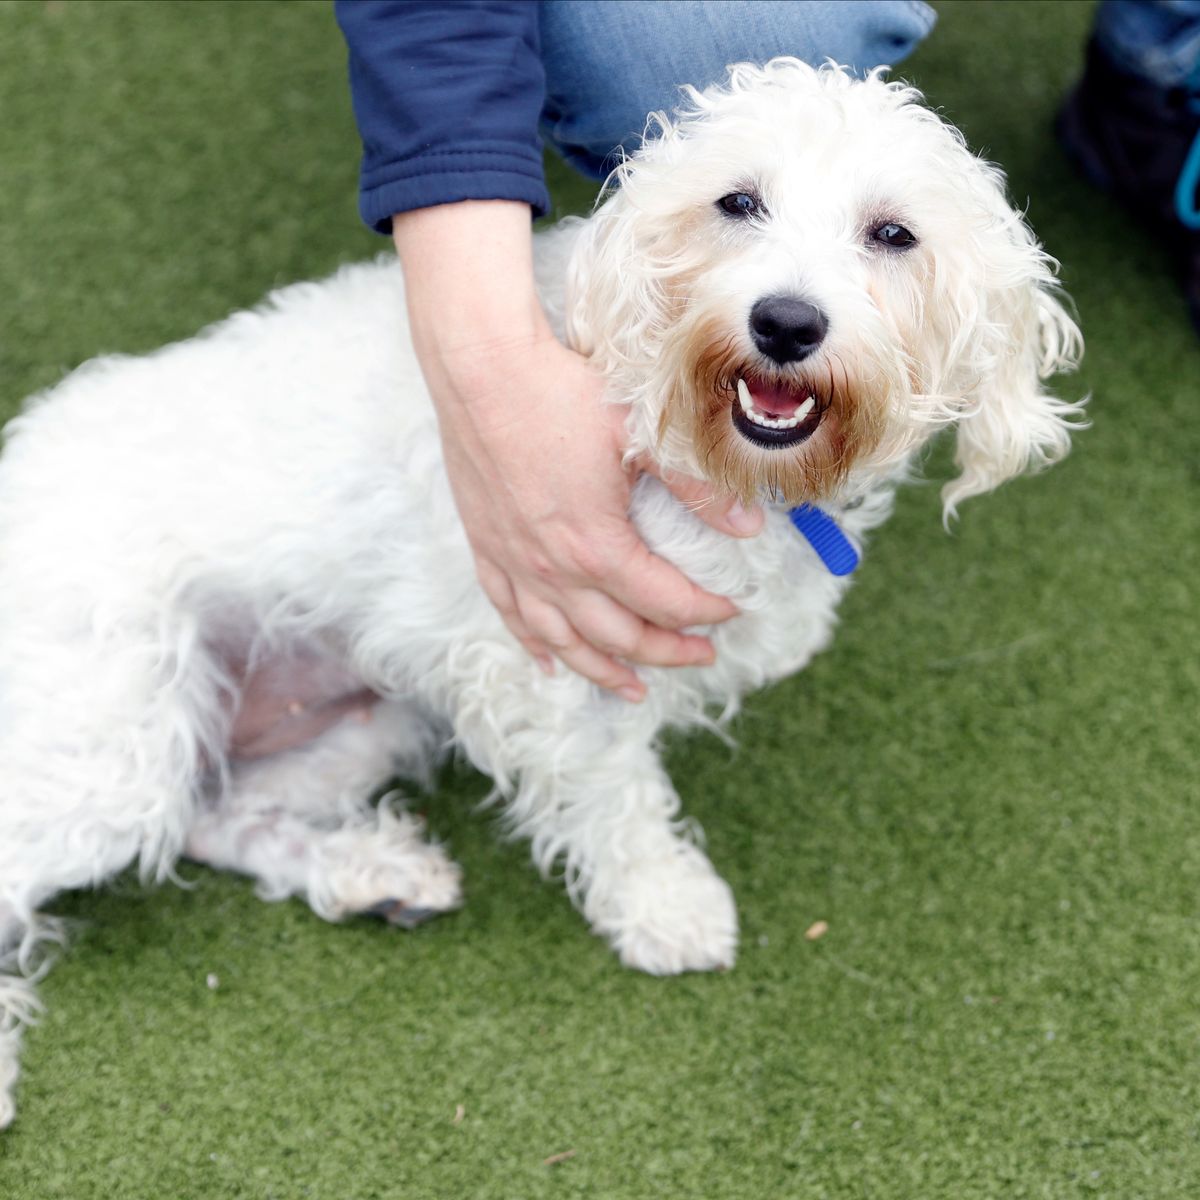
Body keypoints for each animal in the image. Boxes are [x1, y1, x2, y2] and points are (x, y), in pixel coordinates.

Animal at [0, 60, 1084, 1118]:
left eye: (894, 234)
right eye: (738, 201)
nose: (785, 321)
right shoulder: (563, 658)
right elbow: (618, 801)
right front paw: (665, 909)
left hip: (357, 716)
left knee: (214, 815)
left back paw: (371, 872)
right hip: (116, 746)